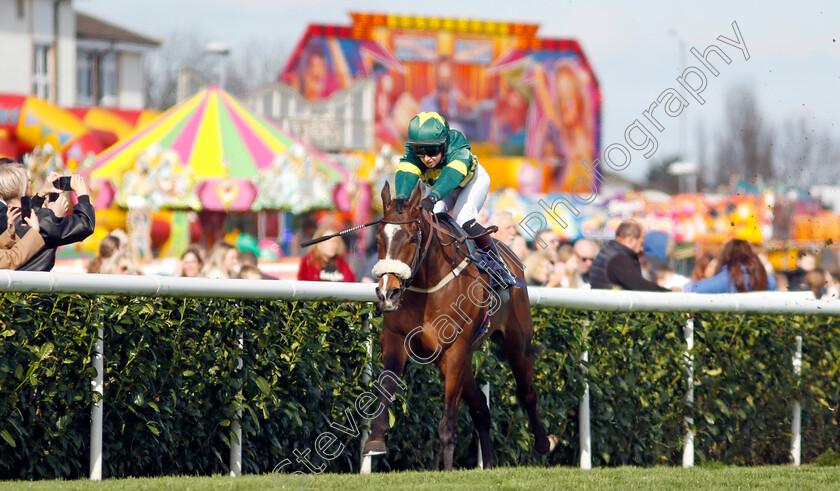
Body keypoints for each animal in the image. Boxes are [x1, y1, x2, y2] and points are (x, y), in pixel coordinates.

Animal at [362, 183, 556, 470]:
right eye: (378, 239)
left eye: (411, 239)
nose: (389, 293)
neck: (428, 285)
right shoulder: (396, 340)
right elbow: (386, 385)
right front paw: (375, 440)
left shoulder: (454, 349)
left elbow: (448, 424)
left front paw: (447, 469)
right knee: (481, 409)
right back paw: (487, 465)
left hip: (516, 343)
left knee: (526, 392)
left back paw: (544, 443)